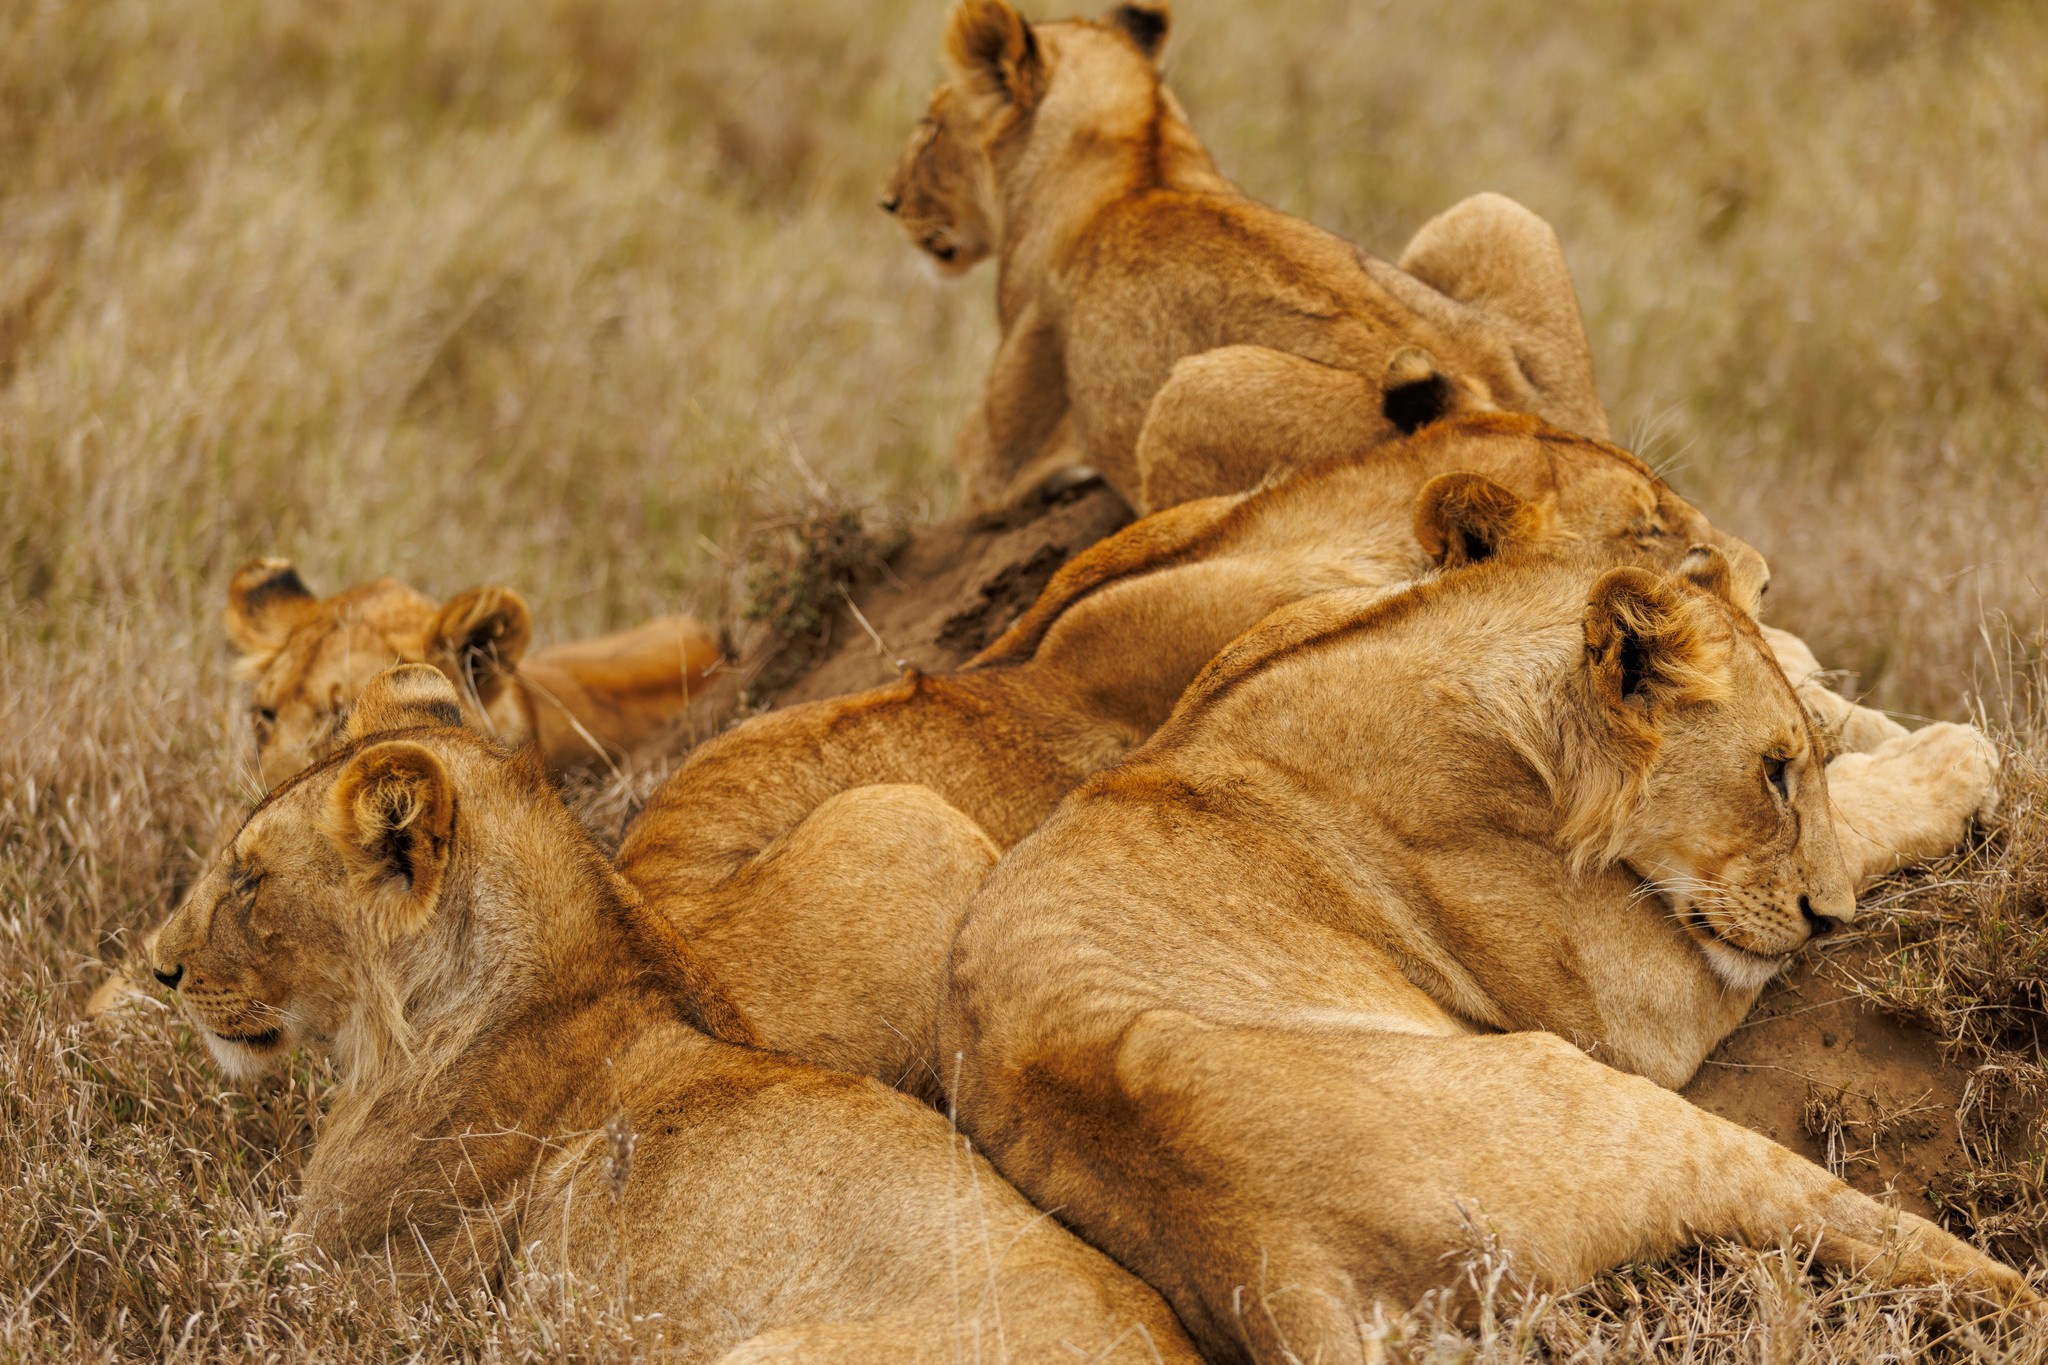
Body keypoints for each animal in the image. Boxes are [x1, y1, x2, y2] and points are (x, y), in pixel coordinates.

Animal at [885, 0, 1612, 515]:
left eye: (929, 127)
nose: (887, 202)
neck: (1134, 151)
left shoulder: (992, 456)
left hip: (1192, 395)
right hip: (1495, 213)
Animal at [938, 527, 2033, 1361]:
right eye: (1770, 771)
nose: (1827, 918)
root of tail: (1259, 1251)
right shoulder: (1633, 1000)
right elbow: (1857, 819)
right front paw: (1950, 755)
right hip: (1593, 1097)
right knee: (1877, 1234)